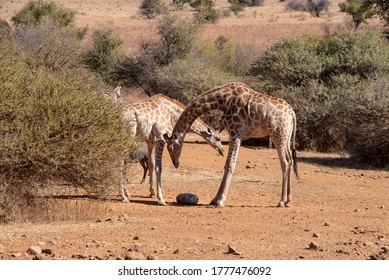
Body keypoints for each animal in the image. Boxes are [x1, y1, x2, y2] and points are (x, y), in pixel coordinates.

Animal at [164, 82, 300, 207]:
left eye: (172, 147)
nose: (176, 163)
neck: (222, 101)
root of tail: (292, 114)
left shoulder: (236, 133)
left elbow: (230, 165)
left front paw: (220, 201)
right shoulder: (234, 134)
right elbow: (227, 165)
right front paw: (215, 199)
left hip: (278, 135)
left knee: (285, 162)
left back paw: (281, 201)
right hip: (286, 136)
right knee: (290, 160)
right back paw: (288, 200)